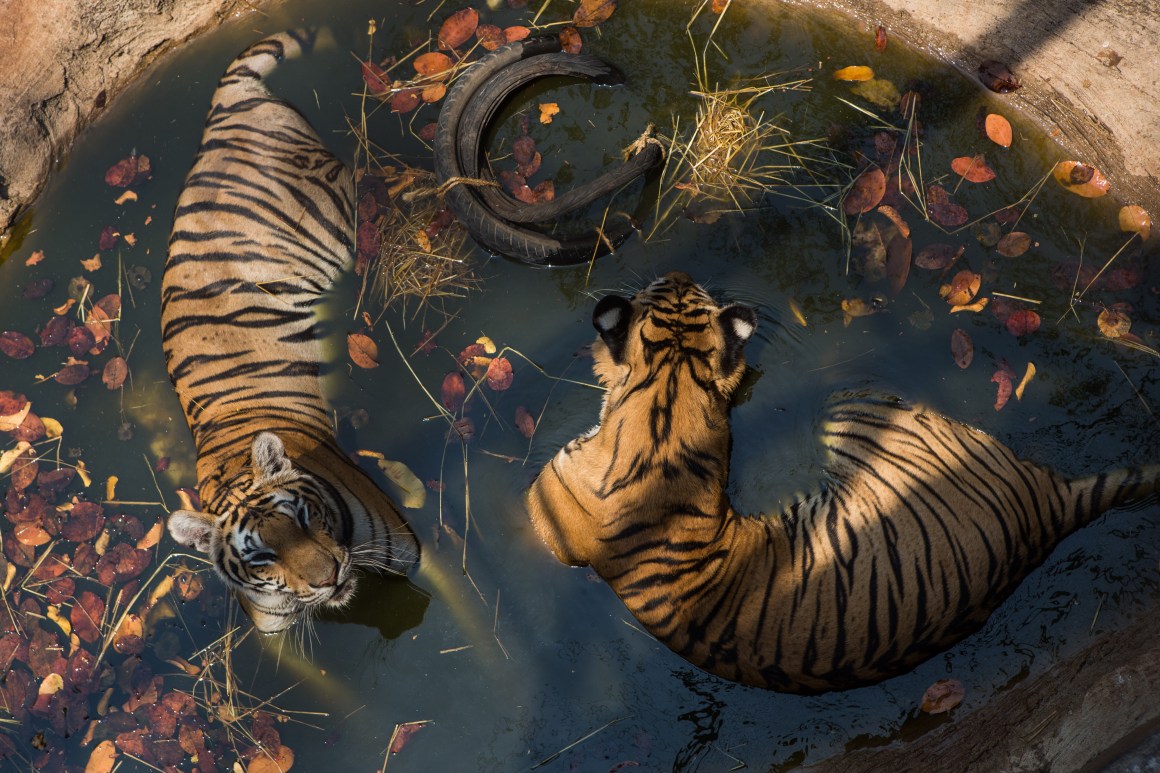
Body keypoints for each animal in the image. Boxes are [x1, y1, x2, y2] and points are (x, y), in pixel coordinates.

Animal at [161, 30, 419, 631]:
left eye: (302, 517)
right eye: (261, 557)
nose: (329, 577)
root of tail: (224, 109)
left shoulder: (408, 550)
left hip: (336, 204)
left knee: (378, 174)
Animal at [528, 270, 1160, 691]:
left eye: (671, 287)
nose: (680, 271)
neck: (668, 392)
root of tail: (1049, 507)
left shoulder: (545, 509)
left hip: (847, 402)